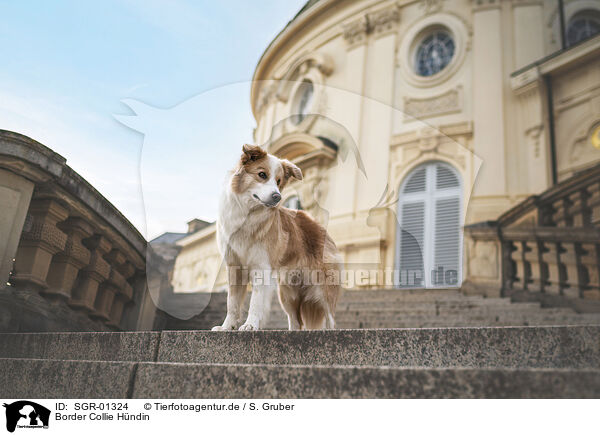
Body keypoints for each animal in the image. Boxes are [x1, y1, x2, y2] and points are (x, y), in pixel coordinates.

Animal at [213, 145, 340, 332]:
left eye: (279, 182)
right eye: (262, 174)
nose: (277, 196)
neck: (247, 214)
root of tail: (317, 225)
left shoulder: (261, 267)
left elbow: (256, 301)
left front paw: (250, 325)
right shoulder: (234, 266)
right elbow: (232, 303)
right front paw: (227, 327)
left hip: (323, 288)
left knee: (330, 317)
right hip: (287, 293)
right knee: (296, 321)